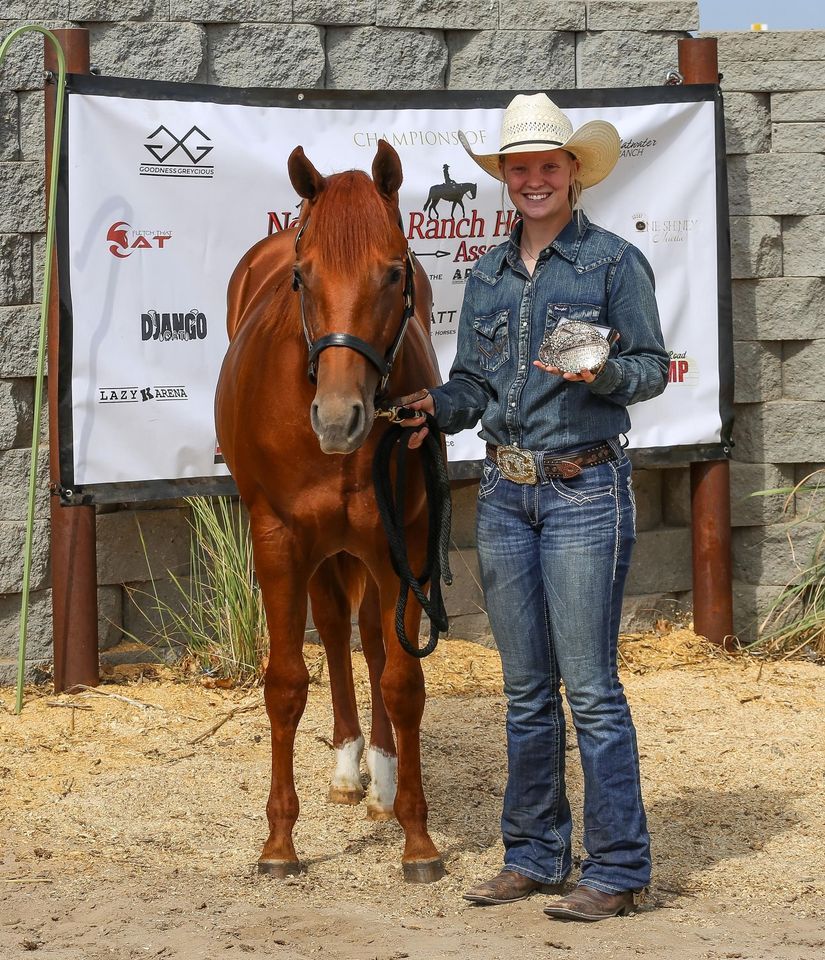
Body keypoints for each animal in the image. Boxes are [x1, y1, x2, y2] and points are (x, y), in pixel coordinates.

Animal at [214, 140, 445, 883]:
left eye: (395, 271)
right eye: (301, 277)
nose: (339, 418)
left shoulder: (405, 541)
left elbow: (402, 679)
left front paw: (417, 838)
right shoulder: (279, 540)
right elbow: (287, 682)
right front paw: (279, 844)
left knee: (369, 639)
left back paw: (377, 775)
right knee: (338, 632)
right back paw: (348, 767)